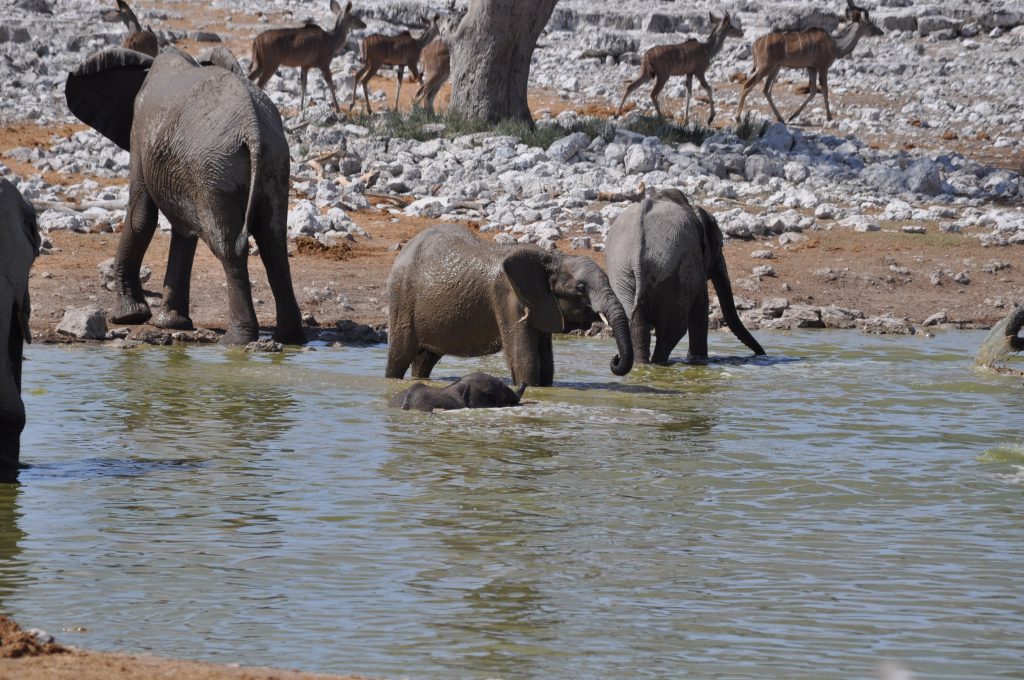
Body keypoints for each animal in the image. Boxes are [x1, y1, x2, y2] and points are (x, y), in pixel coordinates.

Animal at [65, 47, 305, 345]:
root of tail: (254, 130)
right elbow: (183, 230)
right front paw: (170, 323)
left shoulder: (140, 130)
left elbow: (140, 217)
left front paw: (127, 317)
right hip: (271, 163)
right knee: (273, 242)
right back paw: (291, 337)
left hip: (215, 169)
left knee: (228, 247)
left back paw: (235, 340)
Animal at [386, 224, 634, 387]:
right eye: (581, 288)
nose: (614, 359)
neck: (552, 259)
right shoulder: (508, 298)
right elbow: (526, 362)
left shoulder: (542, 305)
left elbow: (546, 367)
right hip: (402, 296)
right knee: (399, 357)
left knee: (425, 359)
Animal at [605, 189, 765, 364]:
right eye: (720, 245)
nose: (762, 354)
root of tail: (637, 261)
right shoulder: (696, 268)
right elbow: (700, 312)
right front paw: (698, 360)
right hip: (672, 276)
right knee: (672, 331)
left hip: (624, 276)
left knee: (638, 328)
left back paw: (643, 365)